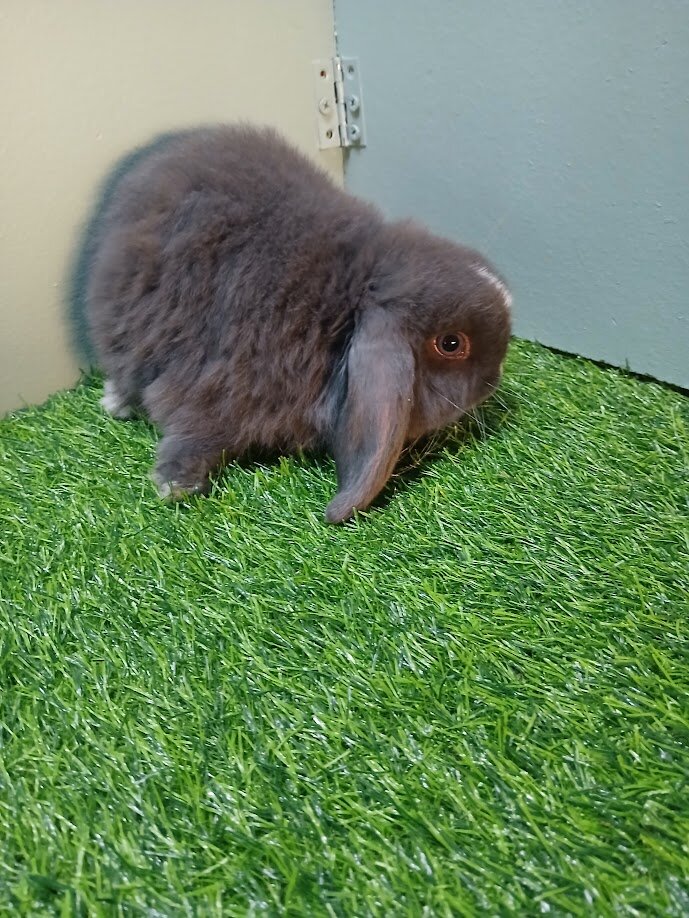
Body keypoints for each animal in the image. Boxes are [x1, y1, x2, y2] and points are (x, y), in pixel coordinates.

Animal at [86, 124, 512, 523]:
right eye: (452, 344)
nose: (493, 380)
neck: (349, 301)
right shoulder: (221, 386)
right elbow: (196, 432)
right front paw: (175, 484)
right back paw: (116, 403)